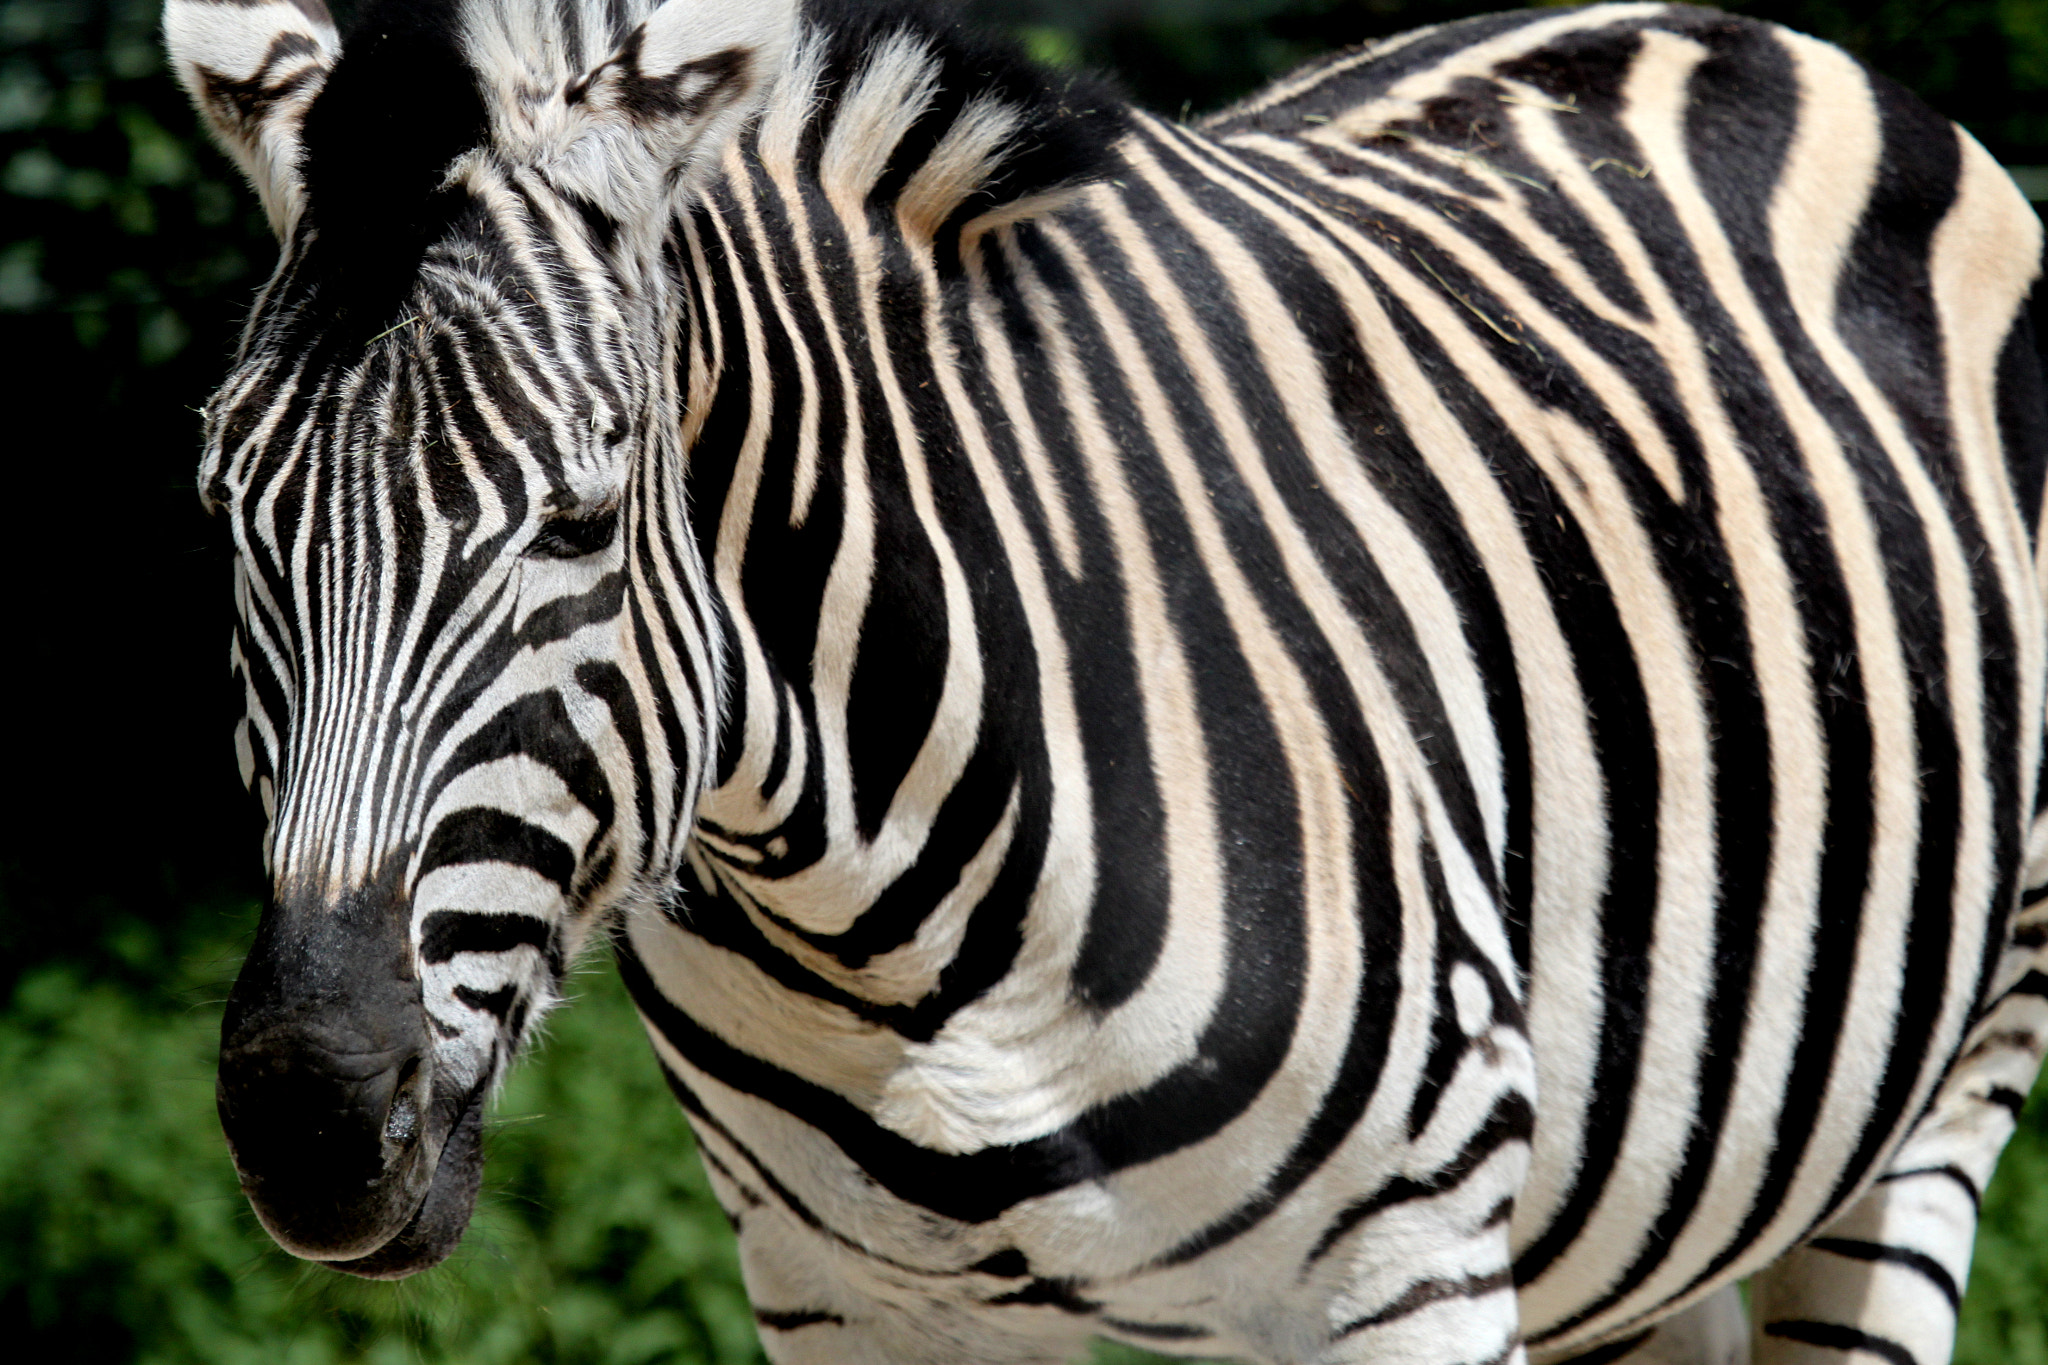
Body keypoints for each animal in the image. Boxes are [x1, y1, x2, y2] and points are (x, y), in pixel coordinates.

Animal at [163, 0, 2048, 1358]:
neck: (888, 929)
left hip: (1943, 1092)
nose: (311, 1117)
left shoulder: (1412, 1267)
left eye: (578, 519)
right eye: (228, 517)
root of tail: (1730, 29)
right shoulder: (845, 1297)